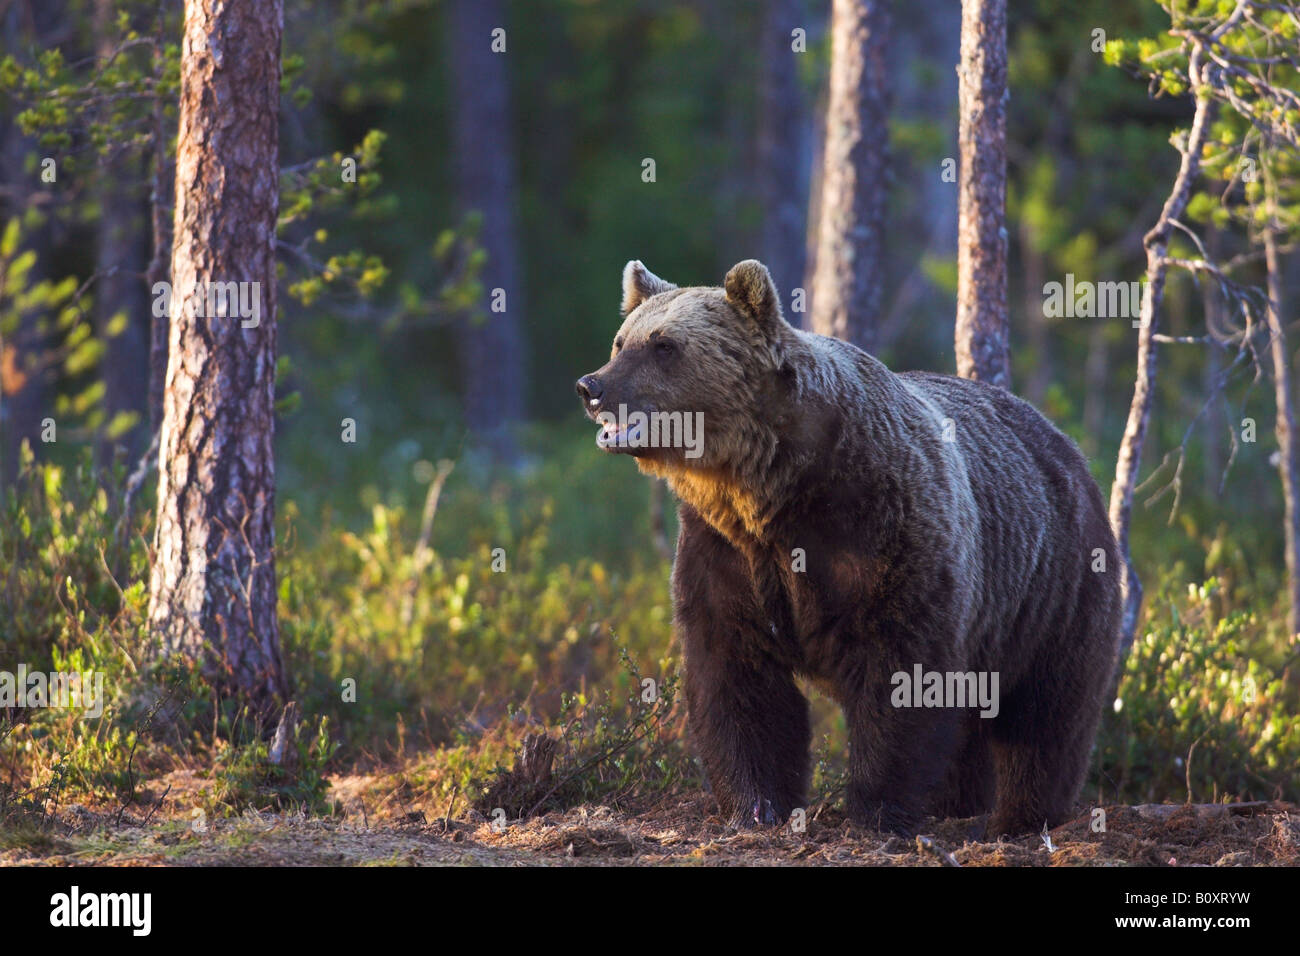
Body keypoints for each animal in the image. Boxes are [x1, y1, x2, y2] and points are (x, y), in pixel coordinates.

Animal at [575, 258, 1122, 836]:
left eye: (663, 345)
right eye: (621, 341)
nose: (592, 386)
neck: (768, 488)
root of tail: (1065, 442)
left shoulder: (885, 529)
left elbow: (902, 673)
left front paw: (876, 809)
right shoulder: (724, 550)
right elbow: (736, 674)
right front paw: (755, 805)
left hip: (1053, 589)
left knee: (1048, 714)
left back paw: (1025, 815)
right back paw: (960, 806)